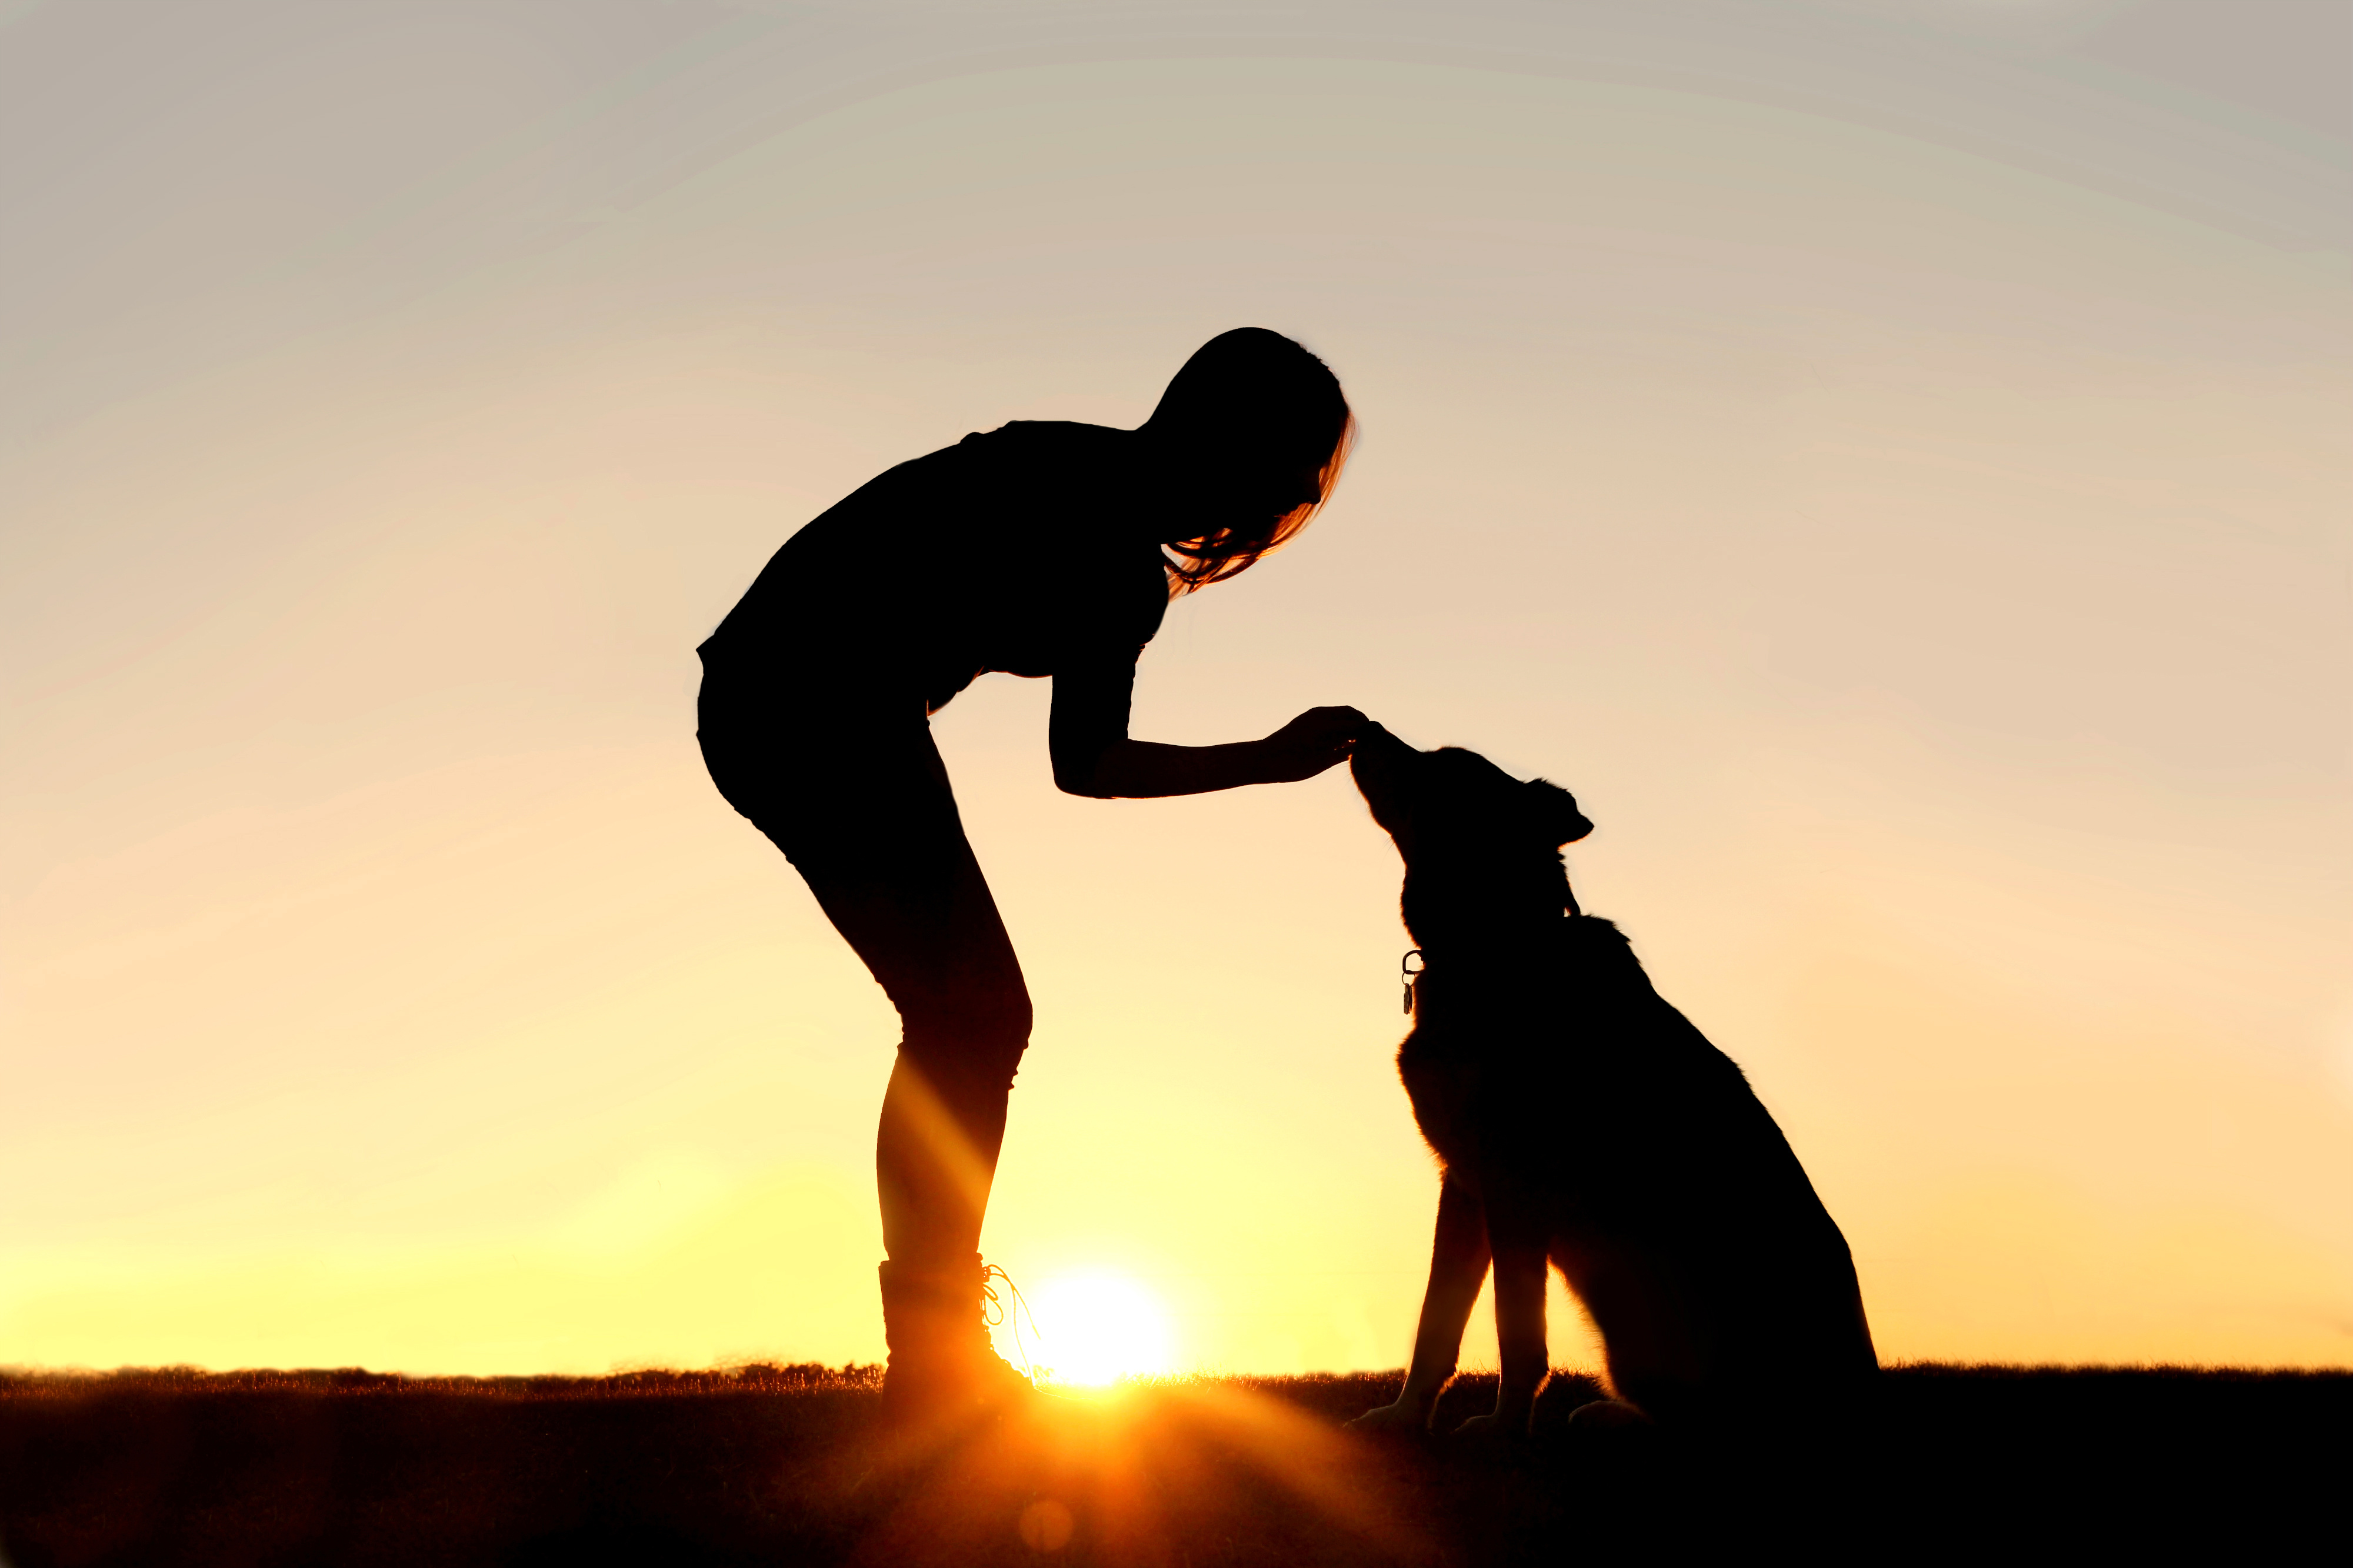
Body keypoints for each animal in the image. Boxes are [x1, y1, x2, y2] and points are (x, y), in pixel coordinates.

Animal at [1346, 725, 1873, 1431]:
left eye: (1445, 764)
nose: (1364, 729)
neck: (1498, 942)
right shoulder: (1463, 1183)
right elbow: (1437, 1320)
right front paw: (1405, 1417)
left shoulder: (1512, 1182)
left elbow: (1517, 1330)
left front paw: (1506, 1428)